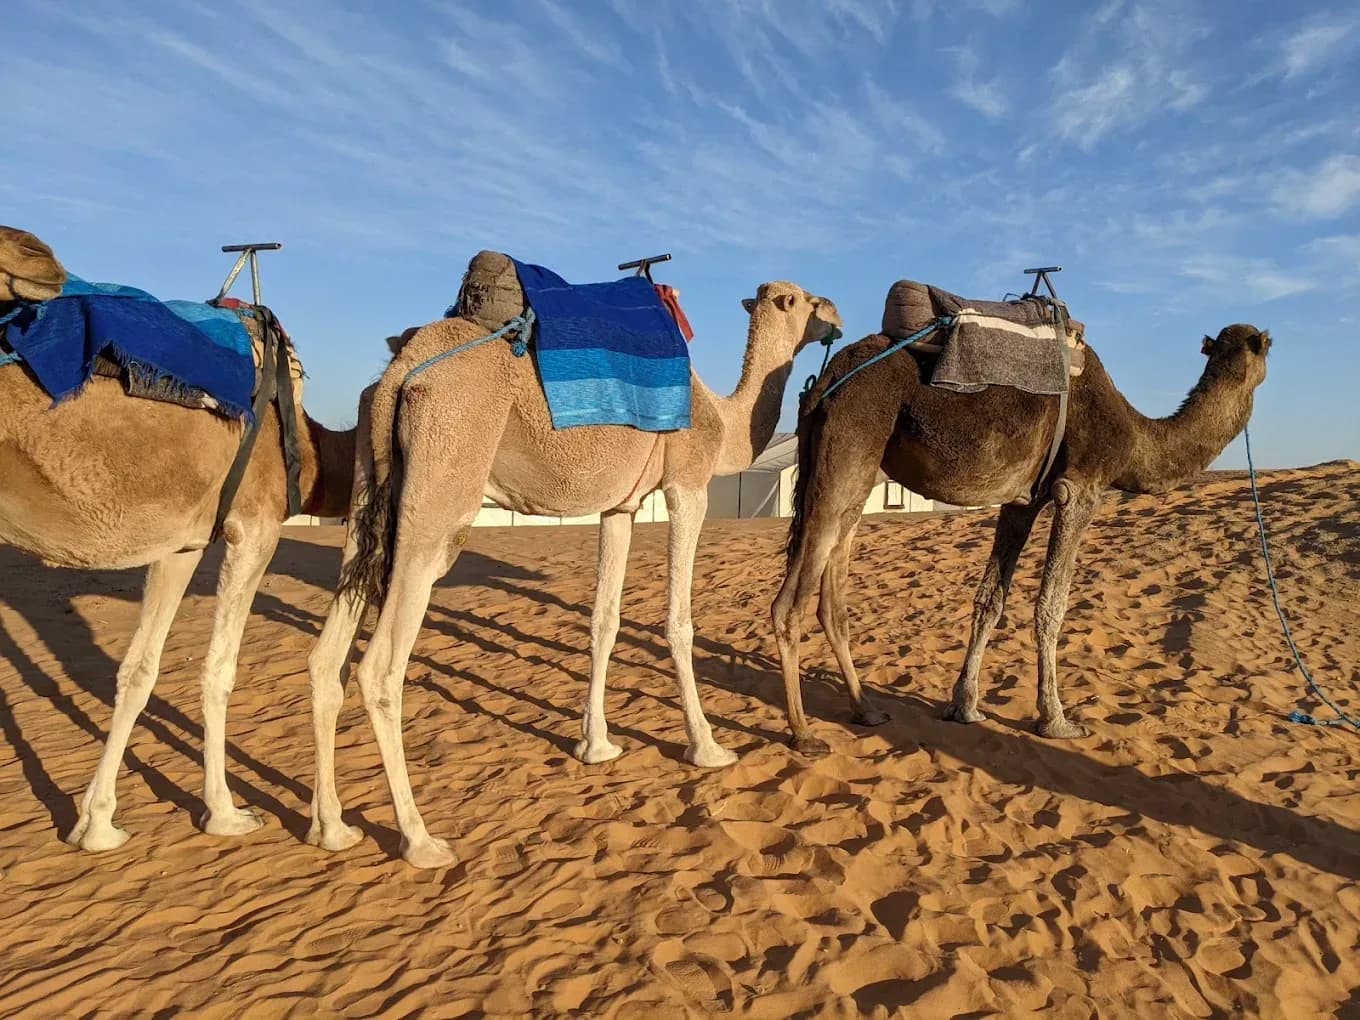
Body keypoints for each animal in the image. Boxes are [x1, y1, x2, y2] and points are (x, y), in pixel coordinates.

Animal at [0, 225, 358, 851]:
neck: (312, 449)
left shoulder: (181, 543)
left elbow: (138, 670)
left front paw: (96, 823)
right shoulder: (255, 527)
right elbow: (218, 671)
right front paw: (228, 813)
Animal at [306, 279, 841, 867]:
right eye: (806, 301)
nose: (838, 319)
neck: (722, 423)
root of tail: (401, 372)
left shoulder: (620, 507)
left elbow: (603, 621)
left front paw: (596, 745)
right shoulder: (687, 483)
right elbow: (678, 623)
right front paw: (707, 746)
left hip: (366, 488)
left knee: (327, 654)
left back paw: (332, 829)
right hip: (443, 480)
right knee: (380, 668)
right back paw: (419, 839)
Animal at [772, 319, 1271, 753]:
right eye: (1265, 346)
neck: (1134, 436)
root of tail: (823, 382)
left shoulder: (1022, 501)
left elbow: (990, 600)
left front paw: (964, 707)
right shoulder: (1080, 490)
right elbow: (1052, 605)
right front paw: (1057, 720)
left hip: (850, 468)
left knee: (831, 588)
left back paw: (867, 710)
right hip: (851, 440)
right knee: (789, 602)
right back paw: (803, 732)